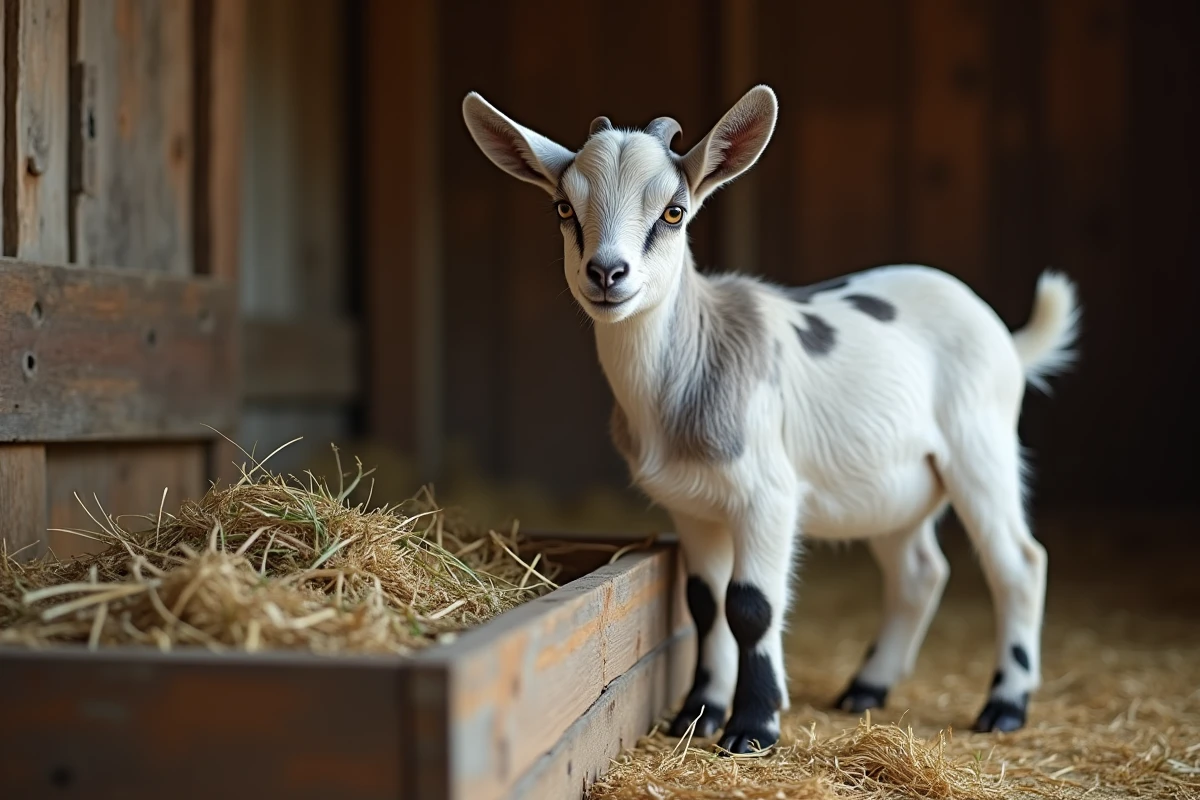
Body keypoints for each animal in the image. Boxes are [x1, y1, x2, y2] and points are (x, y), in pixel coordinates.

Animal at [462, 85, 1080, 754]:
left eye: (674, 212)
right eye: (563, 208)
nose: (607, 273)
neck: (692, 366)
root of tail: (1003, 334)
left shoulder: (767, 496)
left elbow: (751, 606)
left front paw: (752, 727)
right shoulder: (693, 506)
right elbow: (705, 605)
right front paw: (698, 715)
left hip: (980, 446)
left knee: (1018, 563)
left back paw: (1005, 705)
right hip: (893, 488)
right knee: (919, 571)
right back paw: (865, 689)